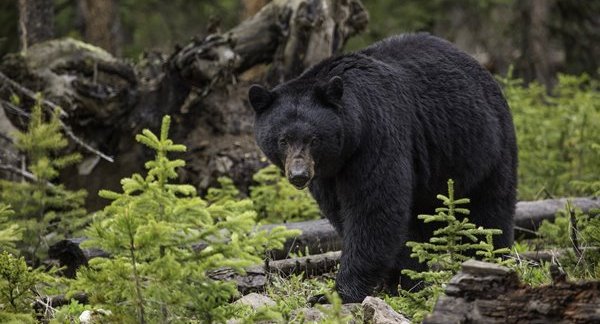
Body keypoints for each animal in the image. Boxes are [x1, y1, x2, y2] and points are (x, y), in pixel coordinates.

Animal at [247, 34, 516, 302]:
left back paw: (490, 259)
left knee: (490, 211)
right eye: (283, 139)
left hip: (485, 148)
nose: (299, 175)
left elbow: (374, 208)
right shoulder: (328, 174)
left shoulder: (376, 135)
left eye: (314, 139)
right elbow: (342, 211)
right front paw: (402, 280)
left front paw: (338, 293)